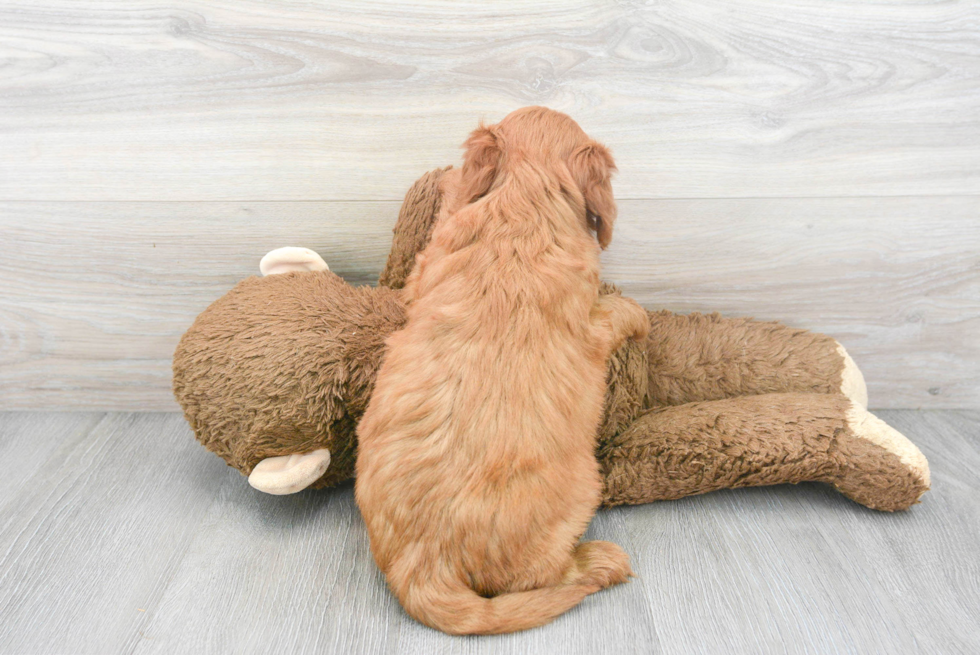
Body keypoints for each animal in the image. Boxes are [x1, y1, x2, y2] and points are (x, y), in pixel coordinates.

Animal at [354, 107, 652, 636]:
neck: (522, 205)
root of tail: (421, 571)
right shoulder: (593, 324)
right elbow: (622, 312)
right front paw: (641, 318)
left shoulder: (425, 268)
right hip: (581, 492)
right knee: (544, 577)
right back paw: (600, 562)